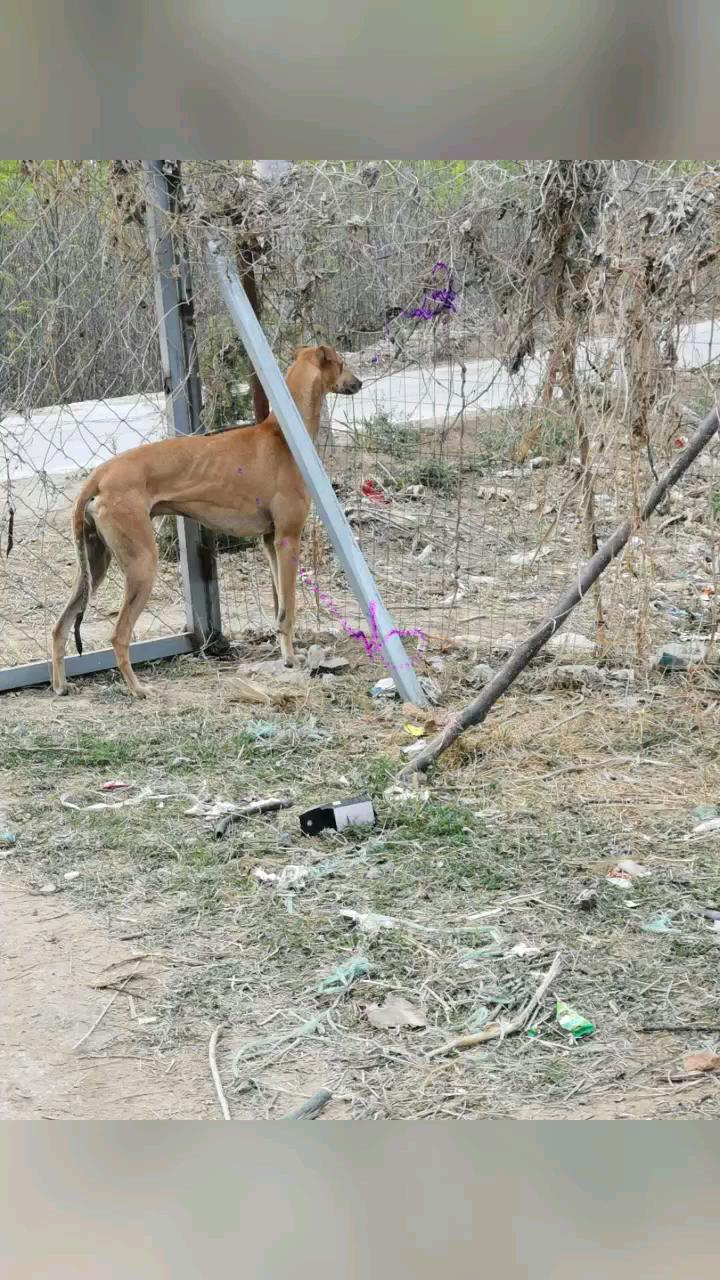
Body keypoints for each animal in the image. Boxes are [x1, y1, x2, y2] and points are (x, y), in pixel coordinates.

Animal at [51, 345, 358, 696]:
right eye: (342, 363)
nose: (359, 382)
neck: (283, 434)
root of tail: (100, 474)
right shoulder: (288, 539)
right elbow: (289, 609)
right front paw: (292, 660)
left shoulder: (270, 541)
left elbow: (280, 607)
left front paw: (286, 655)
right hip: (142, 564)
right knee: (119, 635)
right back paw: (138, 689)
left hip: (94, 565)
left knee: (60, 625)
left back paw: (60, 685)